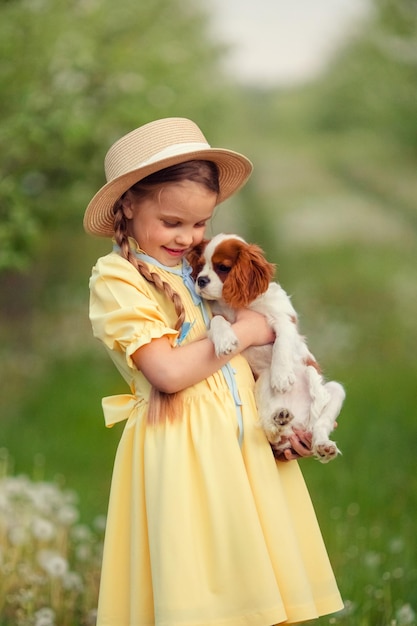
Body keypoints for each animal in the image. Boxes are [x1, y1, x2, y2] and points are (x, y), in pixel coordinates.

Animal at [188, 232, 344, 460]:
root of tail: (298, 423)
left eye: (223, 267)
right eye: (200, 266)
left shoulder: (284, 320)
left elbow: (281, 344)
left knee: (320, 425)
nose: (201, 280)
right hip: (262, 387)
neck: (240, 304)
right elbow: (218, 321)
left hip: (335, 390)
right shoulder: (214, 317)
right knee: (272, 433)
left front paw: (281, 376)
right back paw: (279, 421)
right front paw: (225, 341)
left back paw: (324, 445)